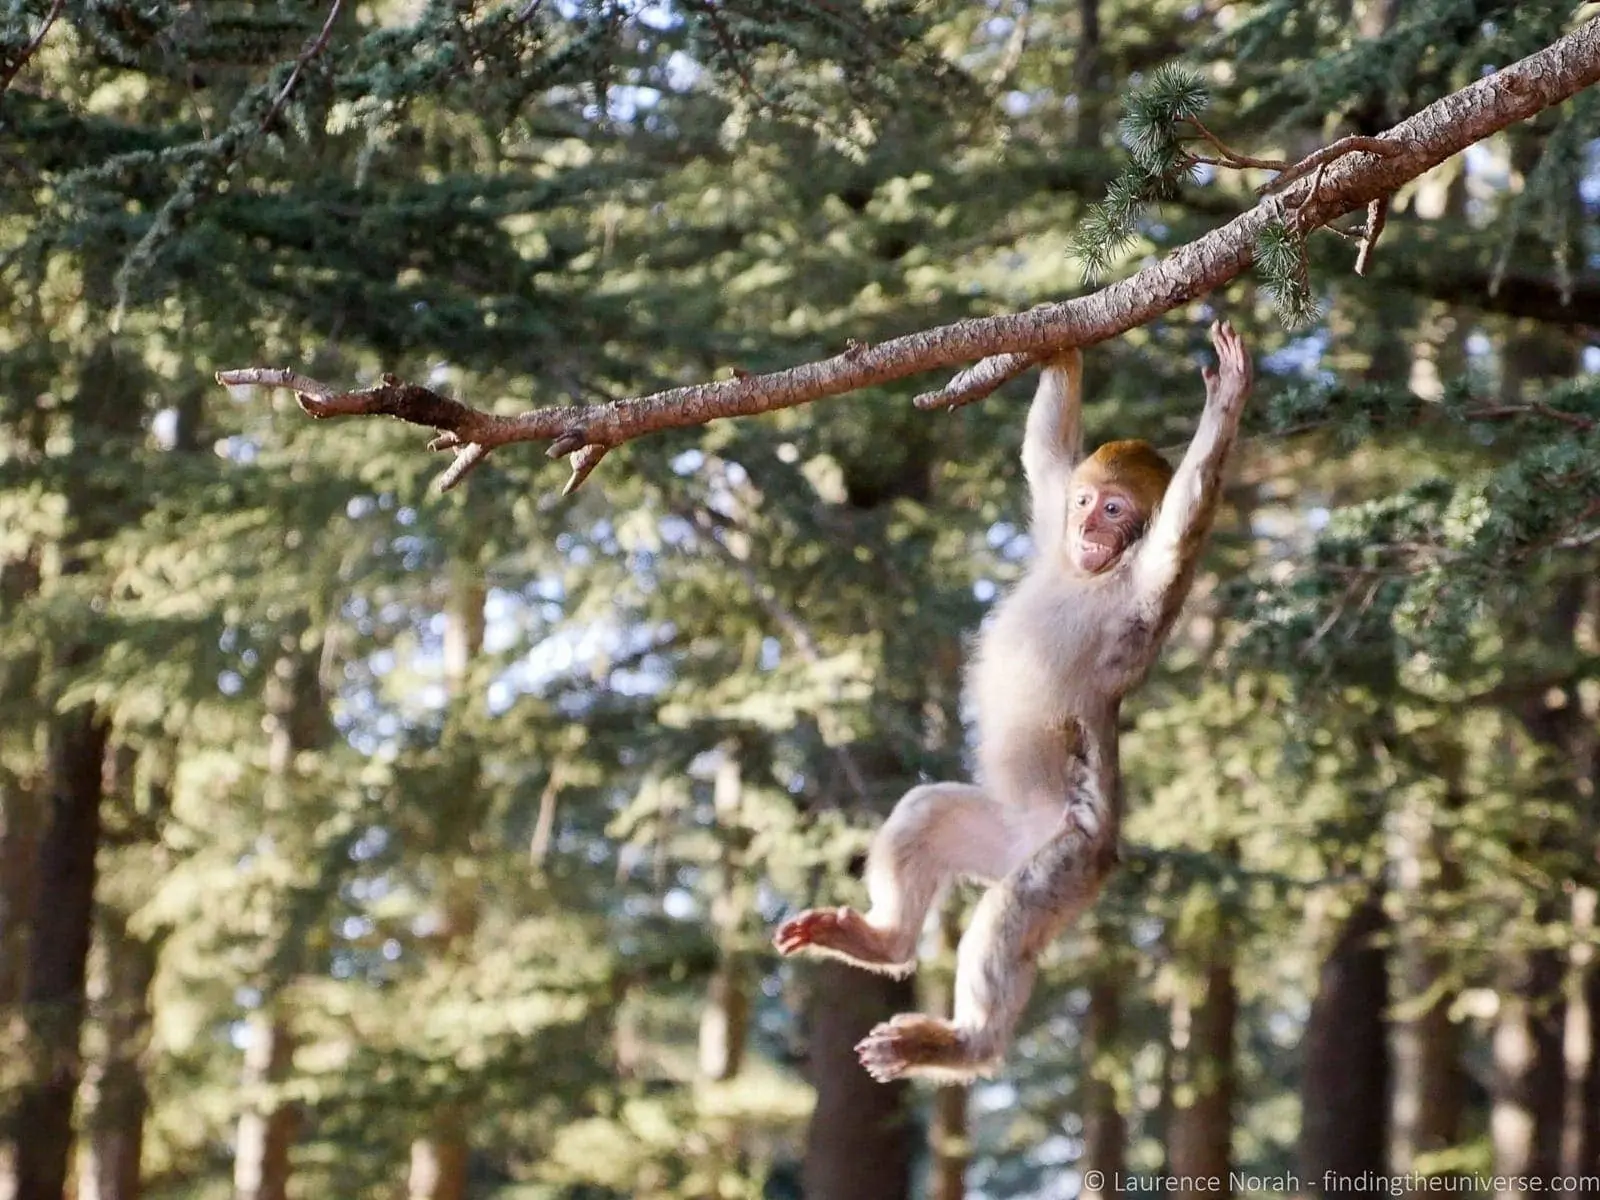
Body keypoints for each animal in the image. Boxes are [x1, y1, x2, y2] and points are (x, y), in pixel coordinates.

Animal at [773, 321, 1253, 1082]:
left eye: (1116, 510)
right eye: (1086, 502)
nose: (1089, 532)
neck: (1093, 575)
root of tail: (1038, 836)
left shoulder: (1148, 584)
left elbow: (1183, 523)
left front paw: (1226, 403)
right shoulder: (1052, 517)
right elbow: (1044, 453)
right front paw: (1059, 343)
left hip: (1068, 861)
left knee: (1007, 917)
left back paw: (963, 1042)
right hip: (997, 836)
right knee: (926, 815)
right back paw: (884, 942)